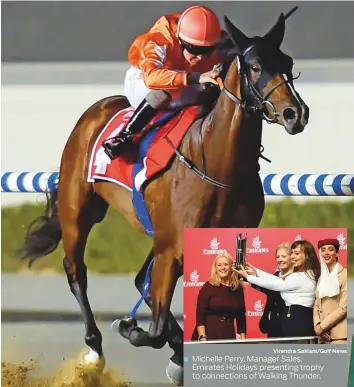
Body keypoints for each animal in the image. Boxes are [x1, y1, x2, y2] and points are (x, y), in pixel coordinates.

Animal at [18, 10, 308, 386]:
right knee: (76, 270)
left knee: (140, 279)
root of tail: (96, 109)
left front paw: (174, 351)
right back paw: (95, 349)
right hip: (78, 211)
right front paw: (133, 330)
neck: (219, 167)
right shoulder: (171, 248)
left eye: (288, 63)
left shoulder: (180, 244)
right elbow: (153, 330)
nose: (295, 114)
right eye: (256, 66)